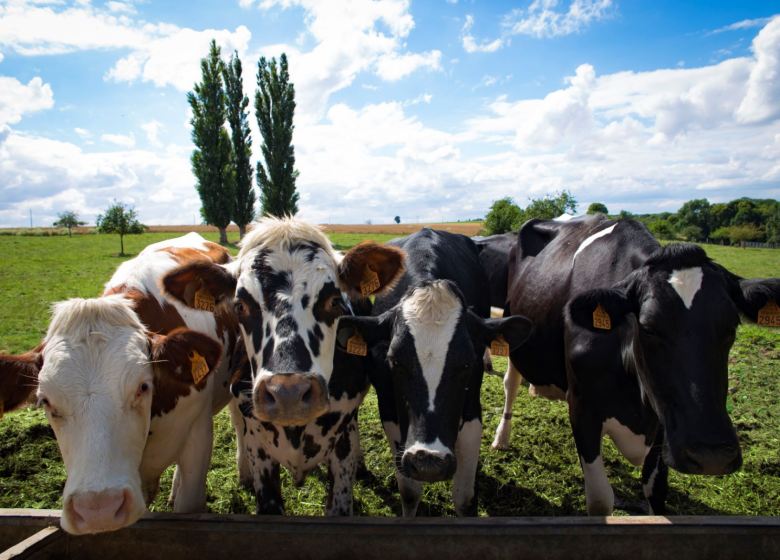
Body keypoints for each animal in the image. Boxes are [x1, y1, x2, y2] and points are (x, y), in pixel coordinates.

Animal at [332, 228, 532, 516]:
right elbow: (409, 491)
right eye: (394, 361)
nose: (429, 462)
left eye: (468, 363)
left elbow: (464, 499)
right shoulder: (390, 408)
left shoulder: (472, 408)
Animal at [494, 215, 780, 516]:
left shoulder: (665, 417)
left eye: (732, 326)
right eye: (648, 328)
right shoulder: (583, 408)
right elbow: (600, 499)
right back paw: (501, 438)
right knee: (511, 384)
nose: (710, 454)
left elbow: (655, 491)